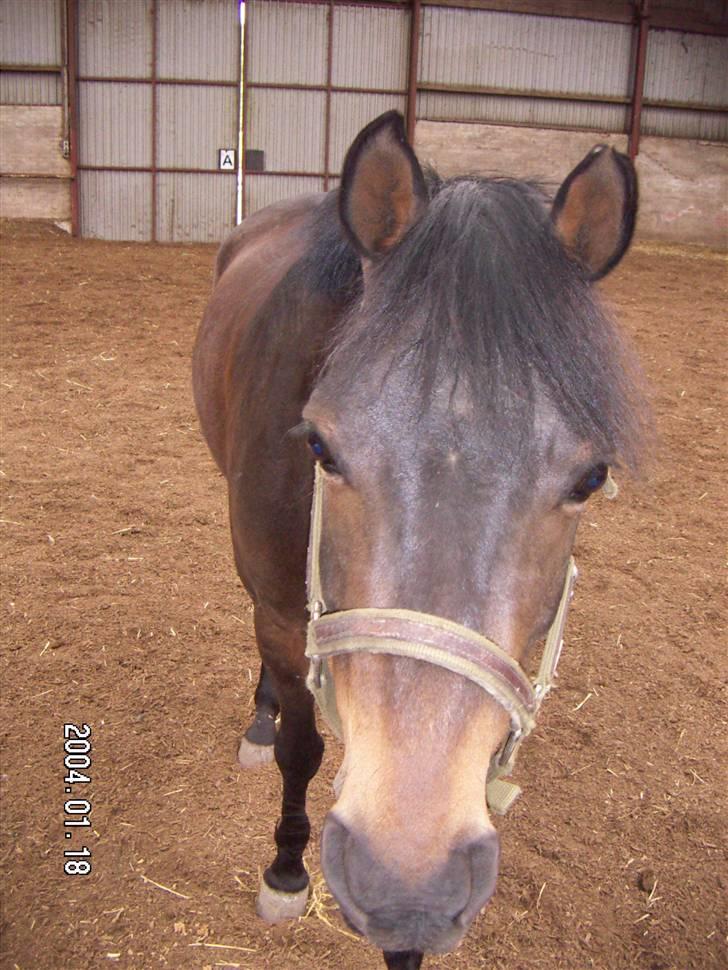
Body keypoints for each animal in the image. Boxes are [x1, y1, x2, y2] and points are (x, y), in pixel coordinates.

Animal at [191, 109, 644, 964]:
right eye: (321, 447)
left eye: (590, 477)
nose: (406, 882)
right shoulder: (283, 613)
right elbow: (303, 748)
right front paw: (285, 869)